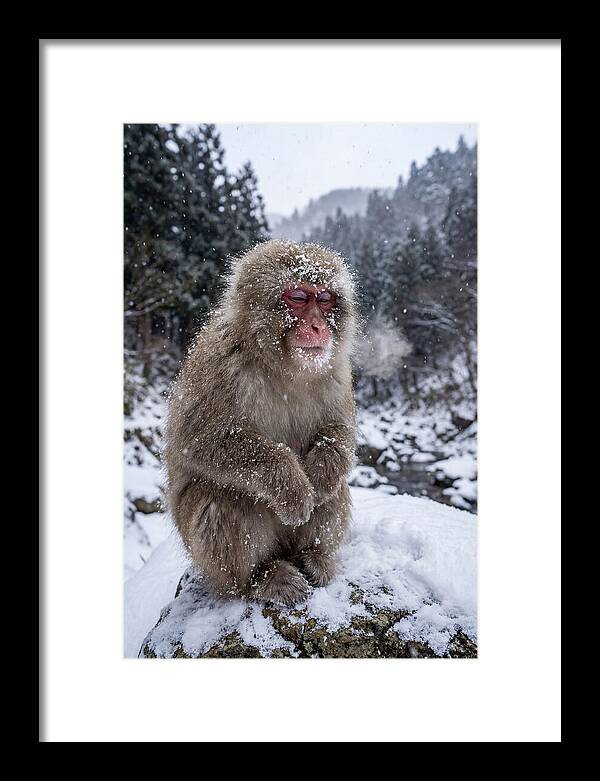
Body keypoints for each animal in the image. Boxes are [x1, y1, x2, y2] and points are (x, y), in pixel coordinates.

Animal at [164, 240, 358, 605]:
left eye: (325, 299)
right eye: (298, 297)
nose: (318, 327)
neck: (283, 367)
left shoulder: (337, 372)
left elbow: (340, 431)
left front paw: (320, 475)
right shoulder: (218, 364)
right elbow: (197, 442)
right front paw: (293, 487)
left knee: (335, 489)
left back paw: (314, 556)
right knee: (223, 498)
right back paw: (259, 579)